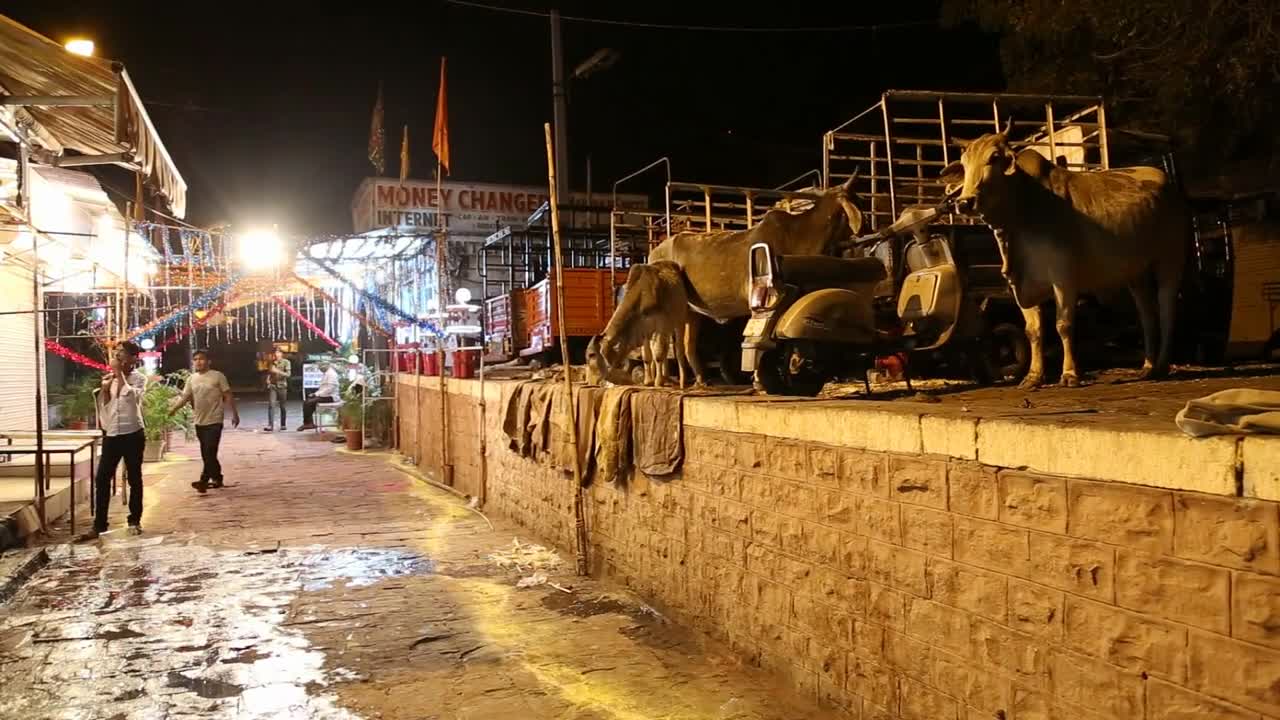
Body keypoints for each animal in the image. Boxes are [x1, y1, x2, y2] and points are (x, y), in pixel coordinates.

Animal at [942, 120, 1187, 386]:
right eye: (964, 163)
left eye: (994, 158)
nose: (964, 202)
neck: (1021, 210)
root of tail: (1168, 184)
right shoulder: (1021, 283)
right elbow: (1033, 330)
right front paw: (1033, 376)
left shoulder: (1064, 276)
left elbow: (1063, 324)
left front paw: (1069, 374)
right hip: (1136, 272)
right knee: (1147, 314)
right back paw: (1148, 367)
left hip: (1170, 259)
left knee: (1167, 309)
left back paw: (1161, 365)